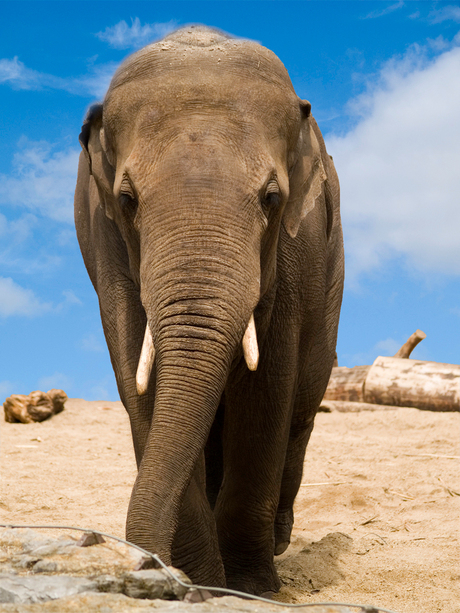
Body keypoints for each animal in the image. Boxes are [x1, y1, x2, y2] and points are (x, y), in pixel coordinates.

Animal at [74, 26, 342, 596]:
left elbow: (270, 385)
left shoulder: (298, 247)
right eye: (127, 200)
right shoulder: (102, 239)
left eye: (271, 198)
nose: (149, 564)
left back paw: (278, 543)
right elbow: (137, 375)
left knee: (302, 405)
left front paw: (250, 587)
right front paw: (201, 577)